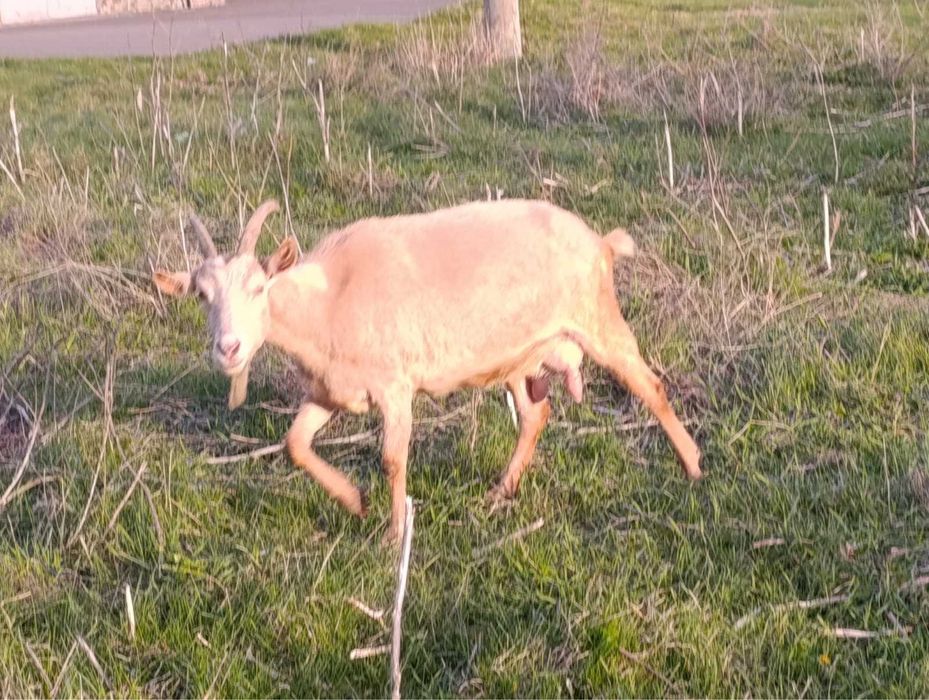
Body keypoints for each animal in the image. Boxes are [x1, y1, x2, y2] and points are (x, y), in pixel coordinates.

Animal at [153, 199, 701, 543]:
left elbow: (393, 459)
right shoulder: (332, 389)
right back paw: (500, 492)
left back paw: (693, 466)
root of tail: (599, 241)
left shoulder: (394, 385)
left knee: (649, 385)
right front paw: (355, 501)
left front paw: (394, 536)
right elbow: (295, 444)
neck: (329, 299)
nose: (228, 348)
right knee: (534, 415)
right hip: (519, 353)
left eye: (259, 288)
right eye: (201, 295)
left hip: (595, 316)